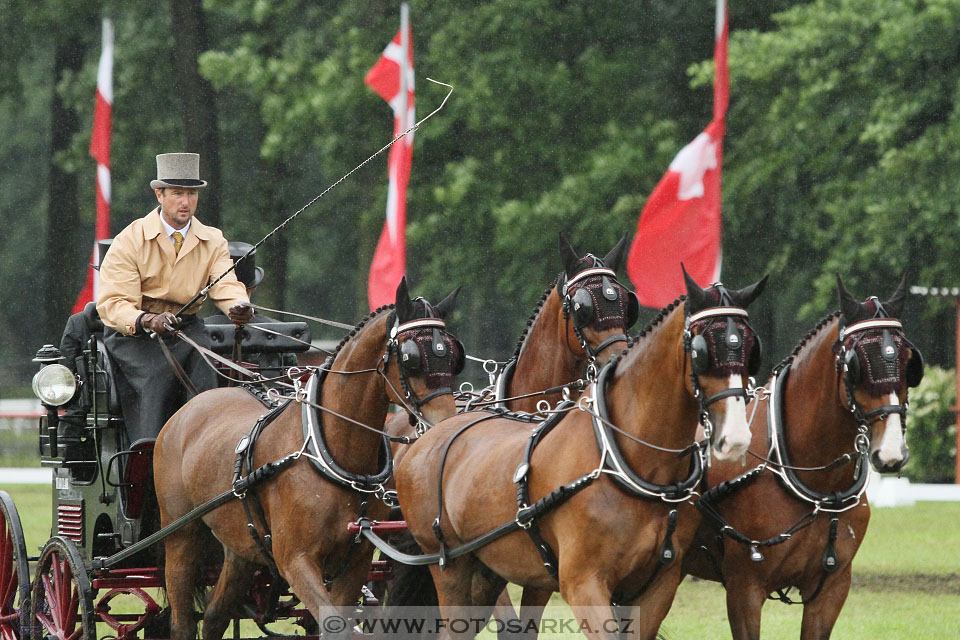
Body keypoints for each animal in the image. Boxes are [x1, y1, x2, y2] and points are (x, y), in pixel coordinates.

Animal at [154, 278, 462, 640]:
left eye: (454, 356)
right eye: (410, 357)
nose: (445, 425)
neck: (329, 453)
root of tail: (189, 409)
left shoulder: (356, 561)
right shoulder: (295, 560)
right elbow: (333, 625)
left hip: (240, 544)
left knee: (216, 616)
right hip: (180, 537)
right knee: (183, 619)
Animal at [394, 272, 768, 640]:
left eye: (751, 348)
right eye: (703, 351)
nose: (737, 435)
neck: (628, 462)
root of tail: (426, 438)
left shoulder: (658, 586)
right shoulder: (583, 584)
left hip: (488, 571)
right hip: (449, 567)